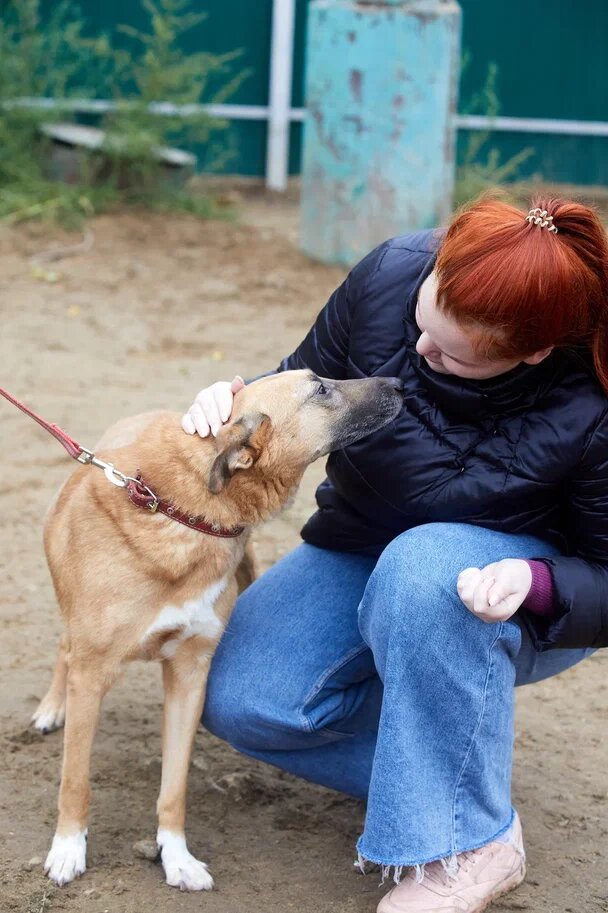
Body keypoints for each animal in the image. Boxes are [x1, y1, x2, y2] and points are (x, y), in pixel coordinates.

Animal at [34, 366, 404, 888]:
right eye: (320, 388)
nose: (400, 384)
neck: (180, 510)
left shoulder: (191, 673)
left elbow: (174, 788)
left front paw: (176, 858)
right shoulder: (92, 674)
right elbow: (75, 781)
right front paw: (68, 849)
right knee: (64, 647)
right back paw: (51, 708)